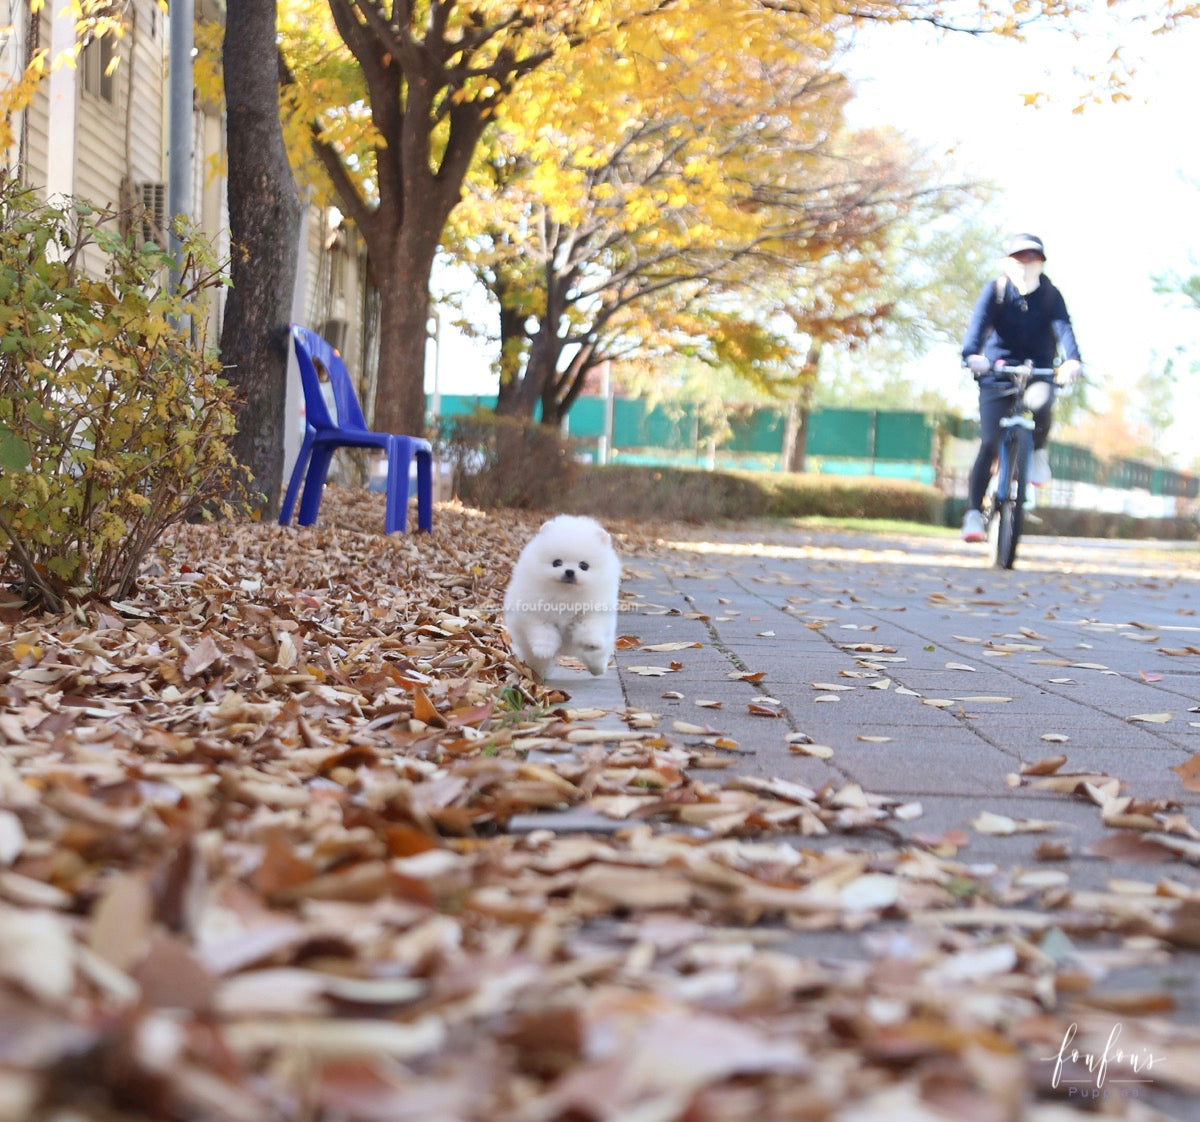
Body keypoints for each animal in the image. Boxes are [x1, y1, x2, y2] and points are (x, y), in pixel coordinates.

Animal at [504, 513, 624, 681]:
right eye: (557, 562)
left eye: (584, 566)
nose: (569, 572)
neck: (565, 595)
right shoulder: (537, 614)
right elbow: (544, 632)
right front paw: (544, 649)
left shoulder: (592, 611)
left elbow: (590, 625)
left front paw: (591, 642)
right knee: (536, 660)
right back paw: (539, 672)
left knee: (597, 656)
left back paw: (598, 668)